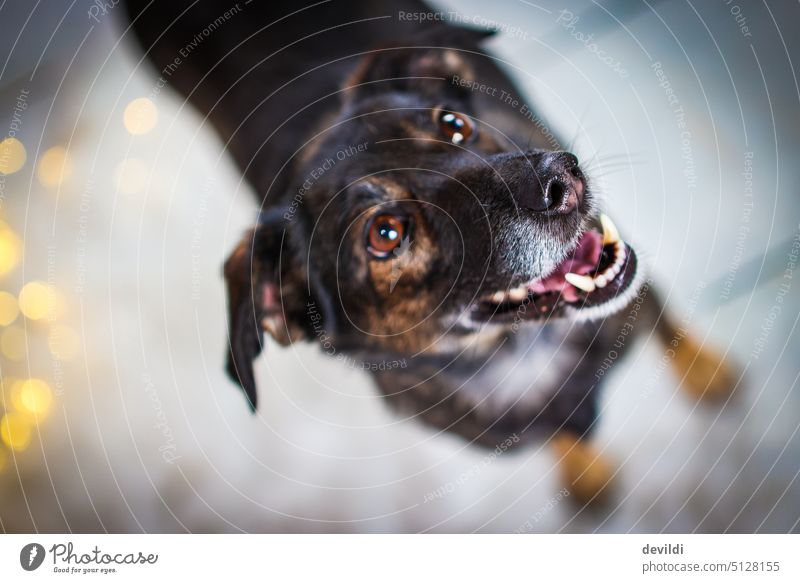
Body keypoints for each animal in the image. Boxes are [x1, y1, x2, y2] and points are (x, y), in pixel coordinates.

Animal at [123, 0, 732, 502]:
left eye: (454, 124)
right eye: (386, 233)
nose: (562, 180)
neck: (519, 354)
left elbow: (663, 319)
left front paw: (705, 370)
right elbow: (564, 434)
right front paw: (585, 471)